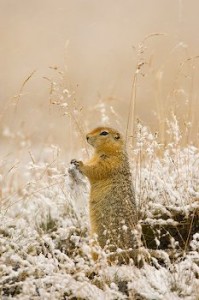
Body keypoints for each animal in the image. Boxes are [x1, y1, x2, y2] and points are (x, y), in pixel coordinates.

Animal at [70, 127, 139, 264]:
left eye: (104, 133)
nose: (86, 136)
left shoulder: (109, 162)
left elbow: (95, 169)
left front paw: (80, 164)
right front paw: (73, 160)